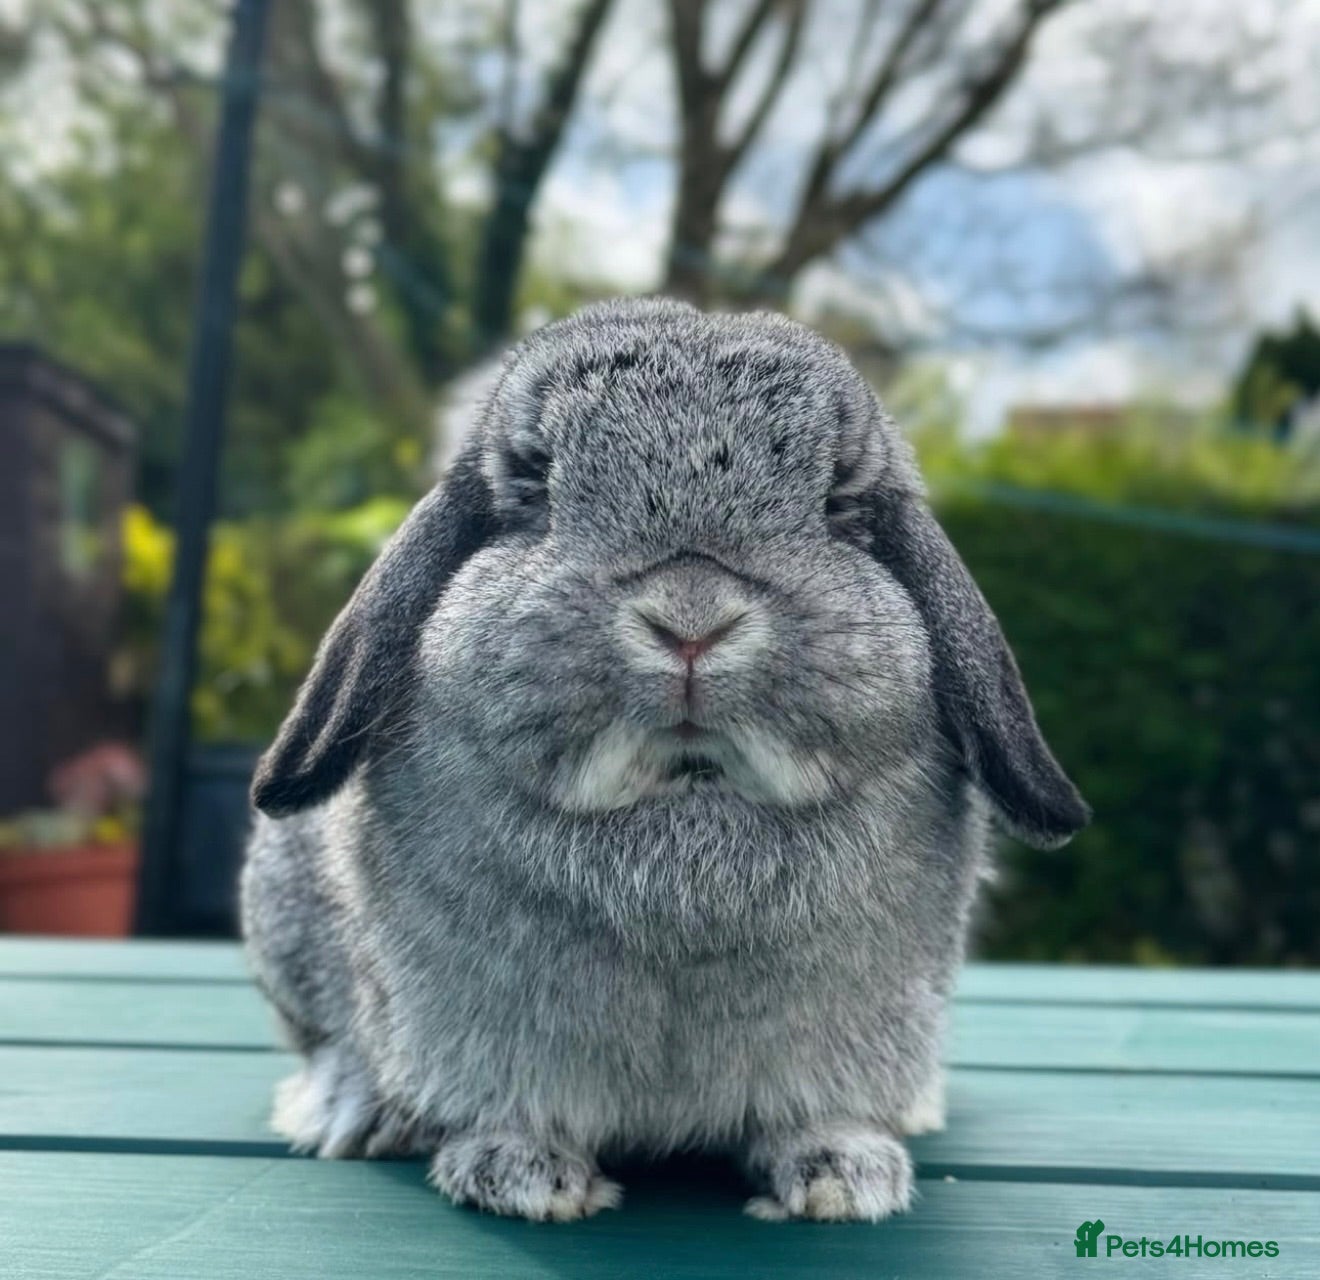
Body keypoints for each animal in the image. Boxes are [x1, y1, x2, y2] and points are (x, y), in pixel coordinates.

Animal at [241, 297, 1088, 1223]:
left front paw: (842, 1173)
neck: (684, 798)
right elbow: (508, 1104)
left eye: (839, 502)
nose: (691, 621)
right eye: (535, 488)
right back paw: (360, 1110)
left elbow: (815, 1112)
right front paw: (521, 1173)